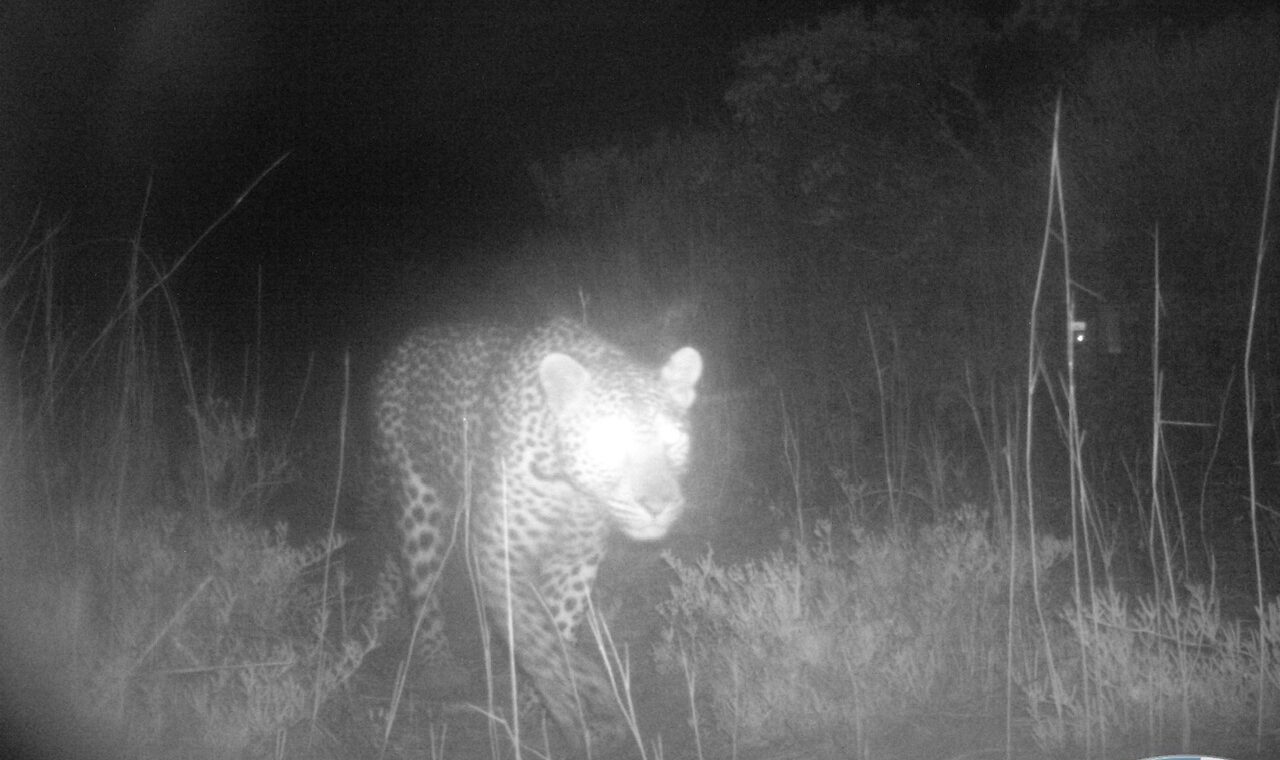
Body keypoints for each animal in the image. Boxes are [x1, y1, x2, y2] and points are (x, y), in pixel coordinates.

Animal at [372, 317, 702, 751]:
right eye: (608, 442)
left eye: (673, 440)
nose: (658, 505)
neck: (570, 488)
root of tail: (408, 344)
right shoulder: (498, 553)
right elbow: (534, 637)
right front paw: (573, 711)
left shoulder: (576, 561)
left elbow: (558, 627)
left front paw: (543, 704)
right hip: (416, 497)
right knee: (422, 582)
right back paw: (438, 667)